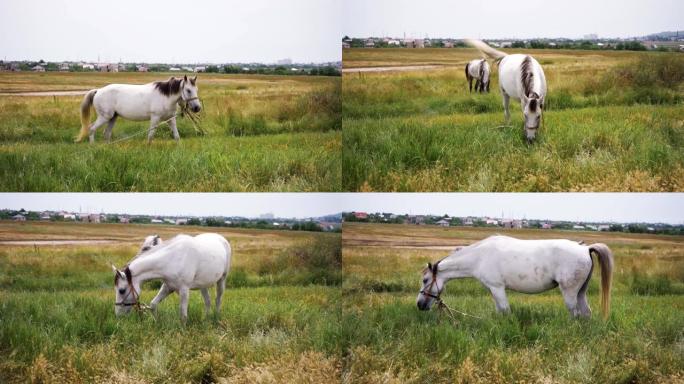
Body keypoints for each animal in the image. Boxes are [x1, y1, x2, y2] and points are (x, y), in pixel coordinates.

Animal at [416, 236, 616, 320]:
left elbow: (505, 311)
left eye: (425, 280)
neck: (480, 256)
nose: (419, 305)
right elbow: (500, 311)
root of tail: (585, 248)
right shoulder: (494, 290)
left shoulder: (497, 288)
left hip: (570, 292)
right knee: (586, 313)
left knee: (575, 314)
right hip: (581, 292)